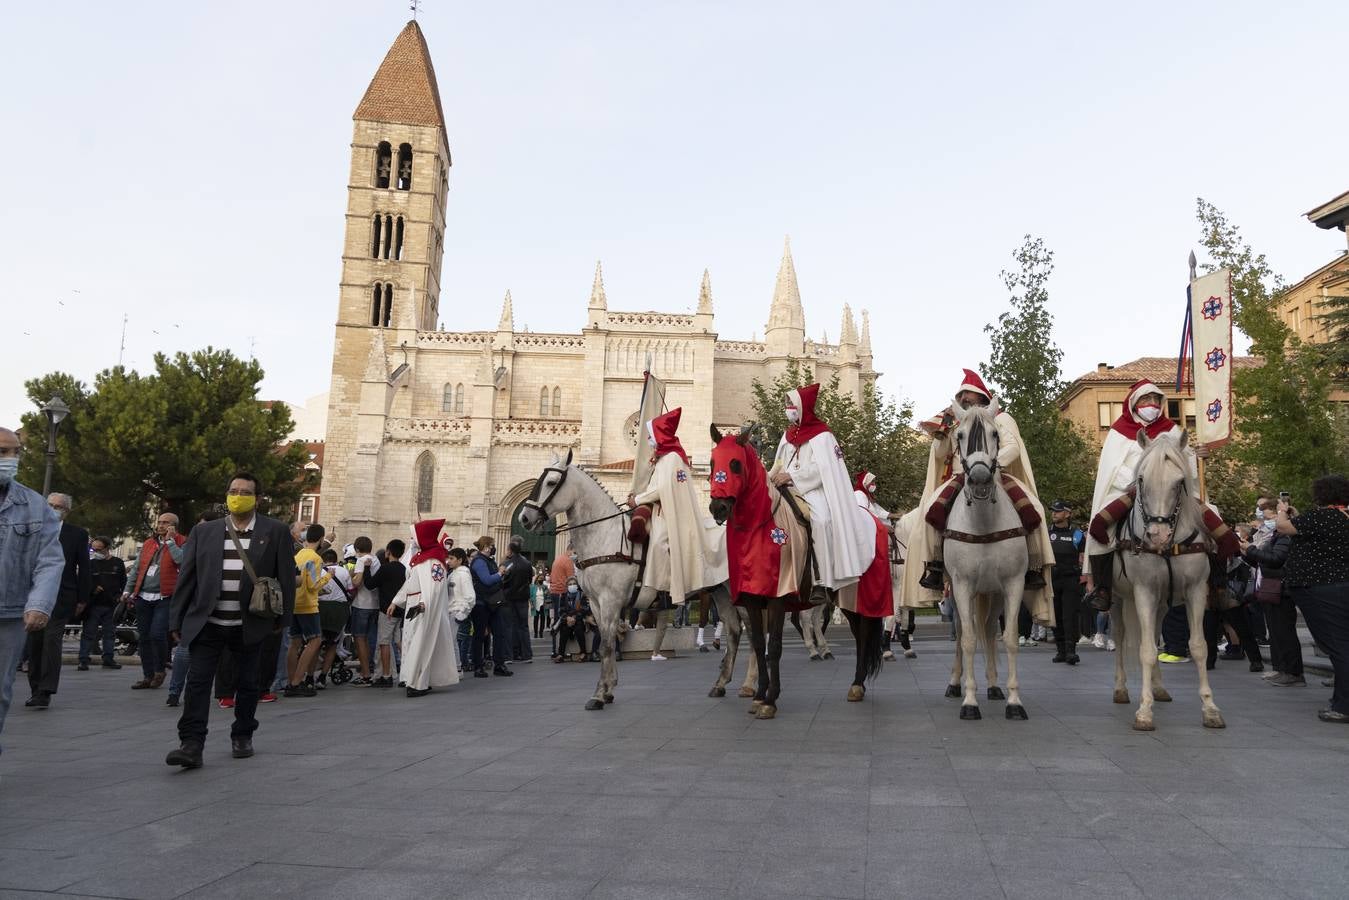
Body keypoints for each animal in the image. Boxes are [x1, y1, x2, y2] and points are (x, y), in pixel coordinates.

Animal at [518, 450, 755, 712]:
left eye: (551, 482)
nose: (524, 517)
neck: (605, 535)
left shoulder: (610, 601)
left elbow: (606, 644)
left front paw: (599, 694)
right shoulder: (596, 603)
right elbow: (607, 639)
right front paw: (608, 690)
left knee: (753, 633)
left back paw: (750, 686)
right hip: (720, 592)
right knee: (734, 631)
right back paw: (721, 684)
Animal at [1106, 429, 1224, 734]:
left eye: (1180, 482)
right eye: (1141, 479)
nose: (1156, 535)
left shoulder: (1196, 591)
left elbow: (1199, 647)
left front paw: (1210, 709)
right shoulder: (1144, 592)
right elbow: (1146, 650)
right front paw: (1144, 712)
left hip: (1162, 602)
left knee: (1157, 630)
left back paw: (1159, 688)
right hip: (1117, 599)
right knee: (1121, 636)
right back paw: (1121, 689)